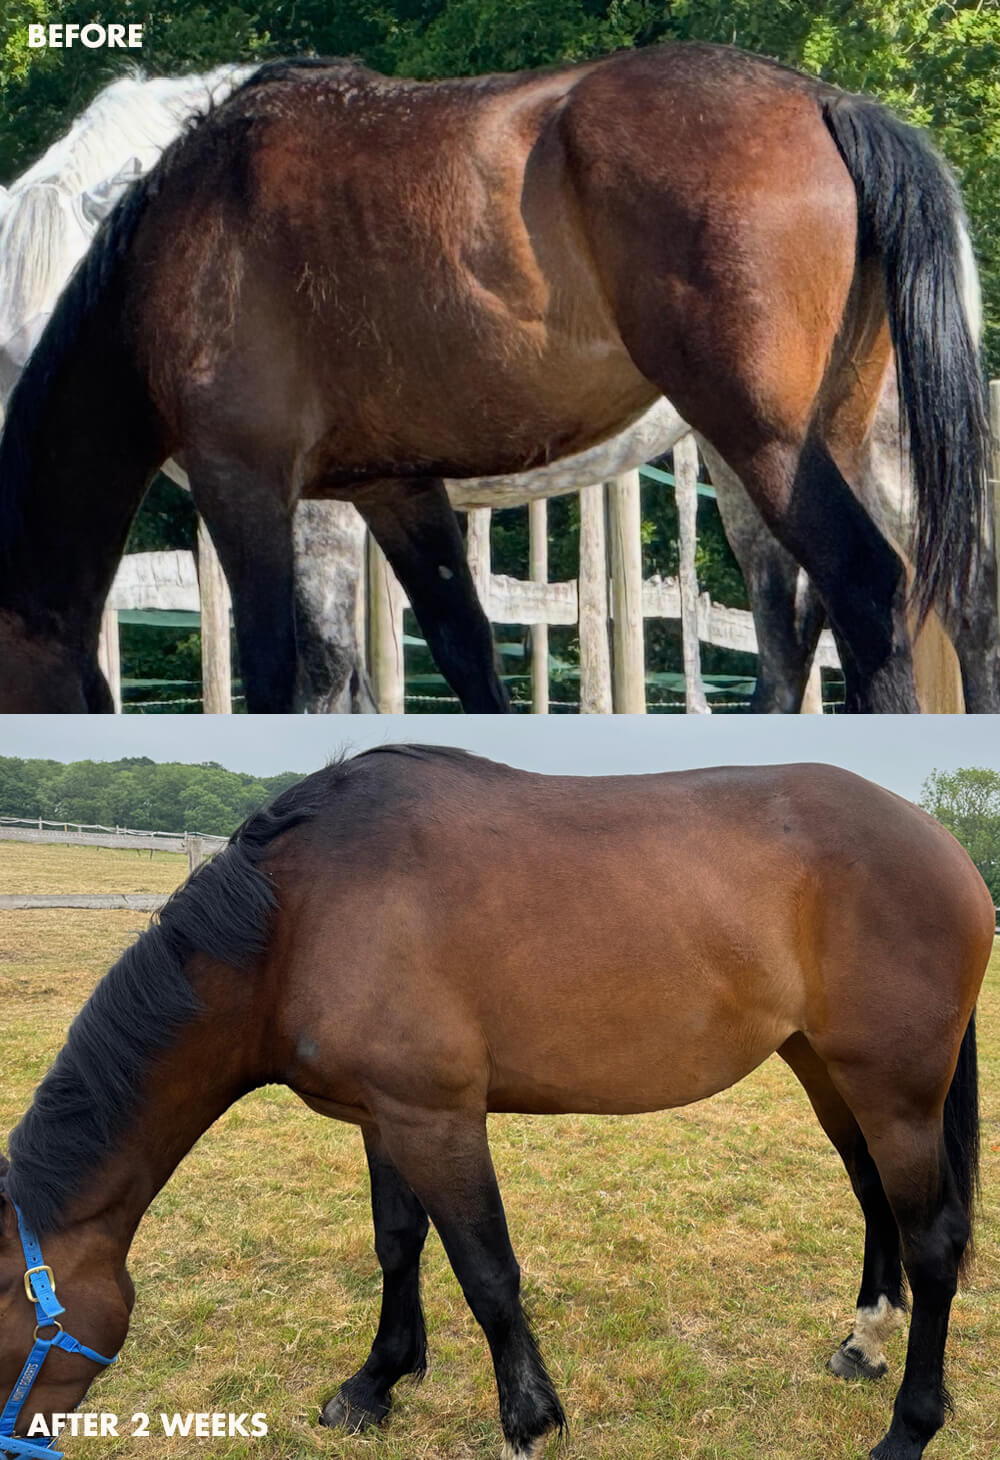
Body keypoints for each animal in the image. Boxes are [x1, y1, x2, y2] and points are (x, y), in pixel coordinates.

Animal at [0, 44, 990, 713]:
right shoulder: (394, 489)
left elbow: (290, 668)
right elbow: (463, 648)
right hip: (806, 447)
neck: (186, 228)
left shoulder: (245, 481)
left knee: (874, 589)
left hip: (779, 443)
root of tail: (827, 102)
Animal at [0, 745, 992, 1459]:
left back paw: (908, 1430)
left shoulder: (438, 1119)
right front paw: (374, 1385)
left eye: (8, 1323)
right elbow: (398, 1244)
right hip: (826, 1070)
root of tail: (939, 841)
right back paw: (862, 1345)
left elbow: (486, 1271)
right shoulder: (385, 1117)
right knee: (874, 1200)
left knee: (934, 1240)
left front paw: (529, 1422)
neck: (301, 914)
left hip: (894, 1088)